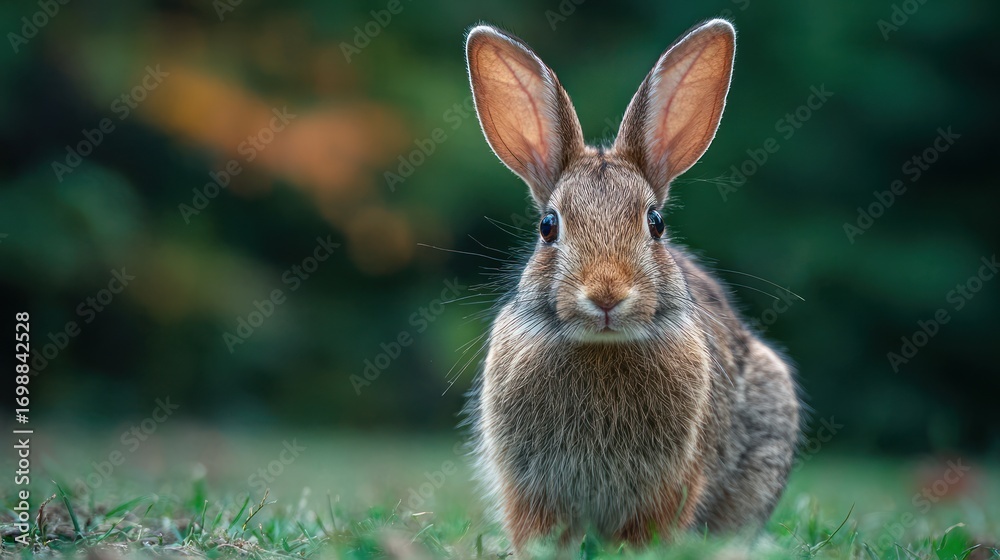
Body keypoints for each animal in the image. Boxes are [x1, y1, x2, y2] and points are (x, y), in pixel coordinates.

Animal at [462, 19, 801, 553]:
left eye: (656, 223)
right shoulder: (530, 488)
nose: (606, 295)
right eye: (547, 226)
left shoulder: (669, 484)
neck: (602, 347)